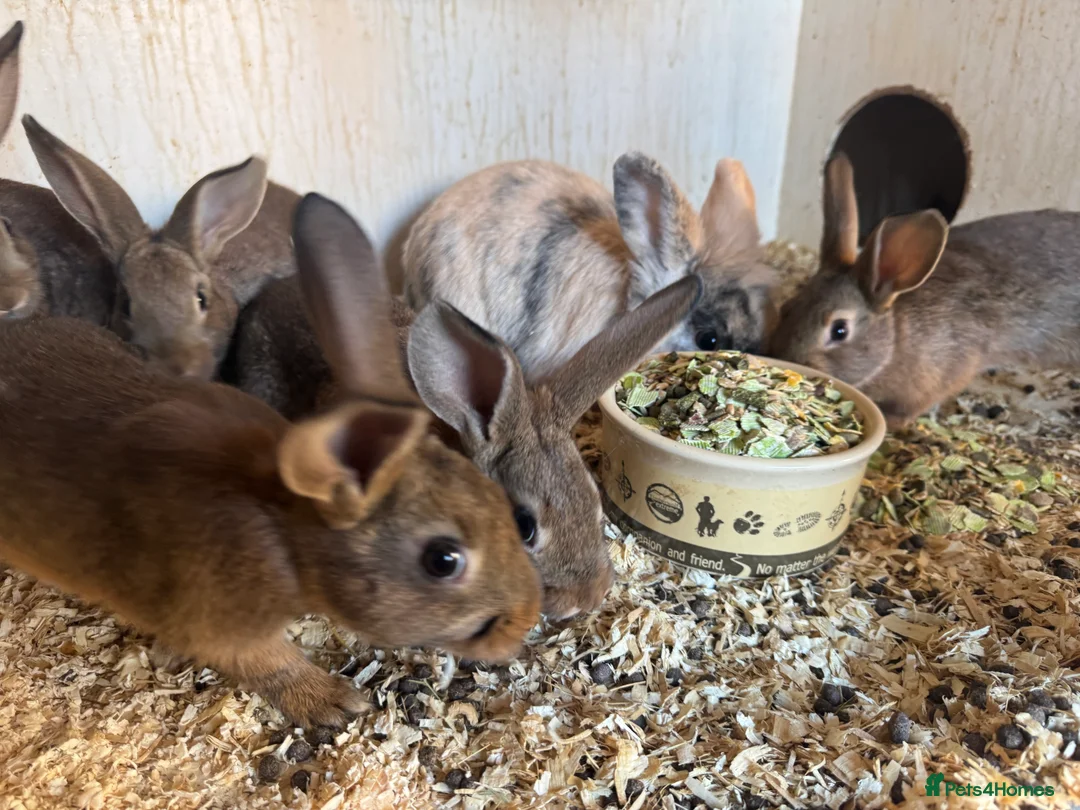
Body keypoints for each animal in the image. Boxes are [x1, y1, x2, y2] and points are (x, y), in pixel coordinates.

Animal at [0, 192, 541, 729]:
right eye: (443, 560)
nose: (528, 617)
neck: (282, 525)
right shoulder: (222, 623)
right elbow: (268, 664)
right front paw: (332, 702)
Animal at [767, 152, 1080, 428]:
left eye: (840, 330)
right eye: (787, 308)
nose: (787, 361)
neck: (896, 340)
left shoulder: (943, 374)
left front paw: (891, 423)